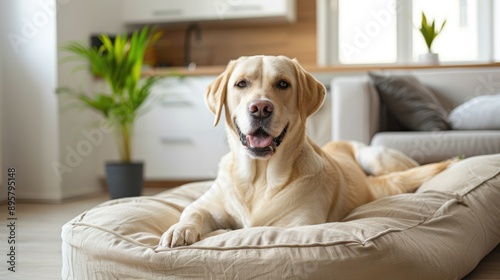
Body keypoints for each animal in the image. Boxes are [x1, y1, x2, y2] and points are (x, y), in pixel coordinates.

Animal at [159, 55, 454, 248]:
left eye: (283, 84)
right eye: (241, 84)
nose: (260, 108)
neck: (259, 178)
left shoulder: (302, 224)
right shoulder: (206, 205)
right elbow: (192, 212)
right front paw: (179, 230)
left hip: (375, 156)